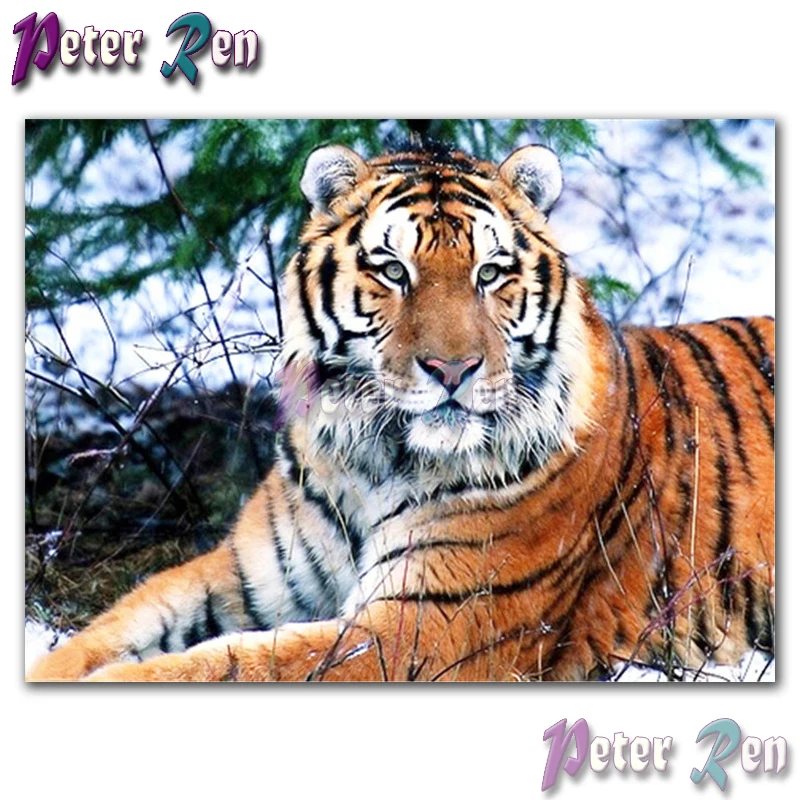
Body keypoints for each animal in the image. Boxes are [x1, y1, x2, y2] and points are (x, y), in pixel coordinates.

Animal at [27, 143, 775, 682]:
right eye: (393, 271)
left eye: (490, 273)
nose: (452, 370)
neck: (371, 457)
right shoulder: (241, 576)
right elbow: (113, 627)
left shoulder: (426, 626)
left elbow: (234, 665)